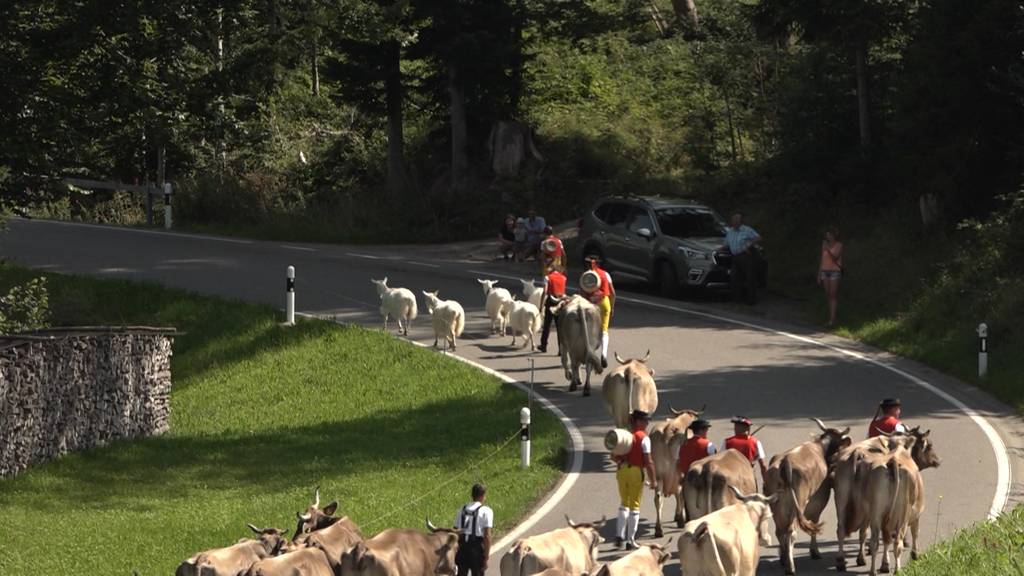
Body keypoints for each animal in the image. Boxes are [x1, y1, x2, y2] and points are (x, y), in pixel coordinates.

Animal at [651, 405, 700, 537]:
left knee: (658, 498)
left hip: (658, 475)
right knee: (679, 493)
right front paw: (679, 517)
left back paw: (659, 529)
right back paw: (681, 520)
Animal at [765, 416, 851, 573]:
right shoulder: (819, 498)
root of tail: (784, 462)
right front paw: (814, 551)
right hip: (797, 504)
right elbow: (814, 521)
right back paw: (790, 567)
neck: (819, 448)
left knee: (780, 531)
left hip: (777, 506)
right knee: (791, 532)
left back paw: (784, 559)